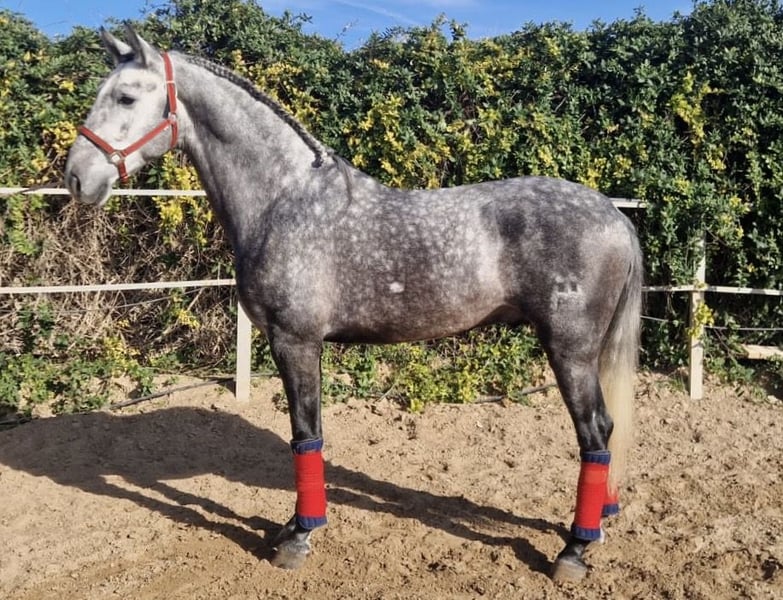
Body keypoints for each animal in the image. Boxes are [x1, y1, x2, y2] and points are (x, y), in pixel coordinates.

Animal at [64, 25, 642, 583]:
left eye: (126, 96)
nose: (76, 177)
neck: (285, 200)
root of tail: (614, 216)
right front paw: (291, 528)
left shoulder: (295, 341)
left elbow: (305, 434)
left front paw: (299, 537)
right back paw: (599, 522)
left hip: (569, 349)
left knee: (595, 432)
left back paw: (574, 549)